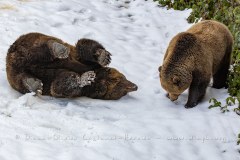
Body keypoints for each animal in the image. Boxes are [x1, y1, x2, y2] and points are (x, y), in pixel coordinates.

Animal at [6, 32, 138, 99]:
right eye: (122, 78)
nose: (135, 86)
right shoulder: (82, 60)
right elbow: (84, 47)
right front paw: (103, 57)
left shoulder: (87, 89)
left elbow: (59, 85)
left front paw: (86, 78)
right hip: (29, 40)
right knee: (45, 44)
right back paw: (58, 49)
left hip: (19, 73)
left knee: (22, 78)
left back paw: (33, 84)